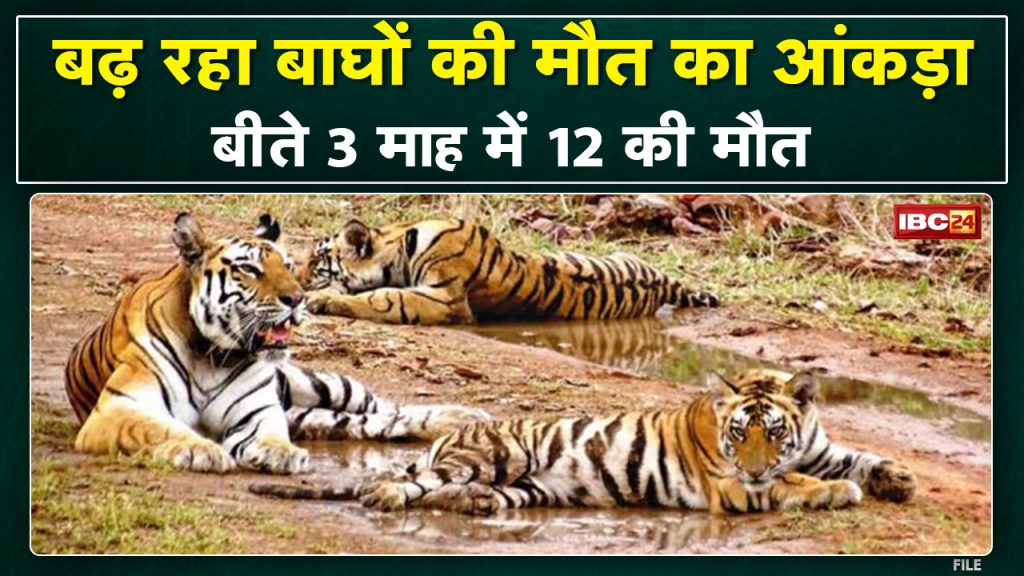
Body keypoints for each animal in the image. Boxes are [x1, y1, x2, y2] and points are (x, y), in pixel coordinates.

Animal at [64, 212, 489, 475]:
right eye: (250, 269)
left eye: (286, 265)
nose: (298, 298)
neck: (211, 355)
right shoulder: (118, 408)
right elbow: (159, 429)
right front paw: (202, 449)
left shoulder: (258, 410)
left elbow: (268, 431)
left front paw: (278, 453)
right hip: (311, 412)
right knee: (370, 423)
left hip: (315, 384)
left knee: (386, 408)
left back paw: (465, 417)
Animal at [298, 218, 720, 325]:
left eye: (318, 262)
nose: (297, 280)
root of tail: (660, 280)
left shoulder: (447, 299)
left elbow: (383, 297)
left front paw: (320, 299)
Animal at [347, 369, 917, 515]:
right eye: (738, 434)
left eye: (775, 432)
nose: (755, 467)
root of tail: (451, 433)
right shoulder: (730, 485)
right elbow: (790, 482)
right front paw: (836, 492)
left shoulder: (820, 450)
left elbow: (858, 458)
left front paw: (899, 478)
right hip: (497, 455)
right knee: (414, 482)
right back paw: (386, 495)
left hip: (531, 488)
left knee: (449, 492)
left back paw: (475, 503)